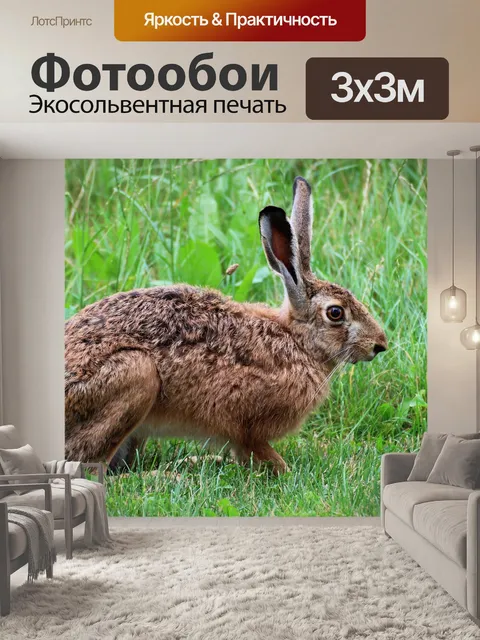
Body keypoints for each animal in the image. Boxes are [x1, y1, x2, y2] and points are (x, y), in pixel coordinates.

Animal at [65, 176, 387, 474]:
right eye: (335, 313)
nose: (379, 345)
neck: (296, 340)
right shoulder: (248, 428)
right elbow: (262, 455)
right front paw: (282, 469)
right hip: (137, 373)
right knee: (90, 466)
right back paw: (171, 474)